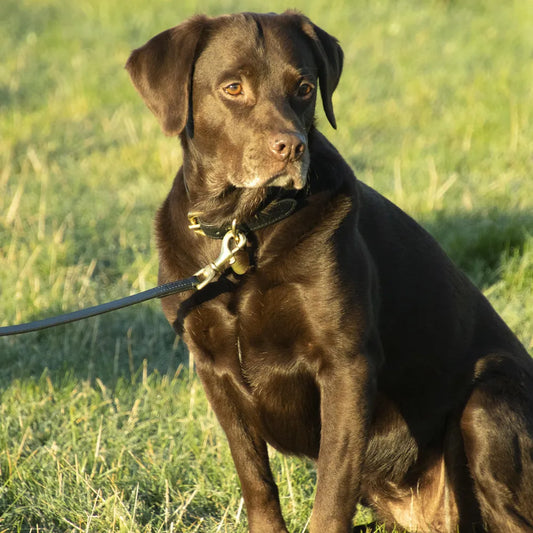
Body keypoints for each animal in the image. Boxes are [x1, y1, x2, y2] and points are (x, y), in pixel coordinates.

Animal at [127, 9, 532, 532]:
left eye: (303, 87)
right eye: (233, 87)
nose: (291, 148)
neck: (245, 230)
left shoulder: (345, 366)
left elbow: (331, 495)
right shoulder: (213, 370)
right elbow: (256, 481)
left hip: (486, 402)